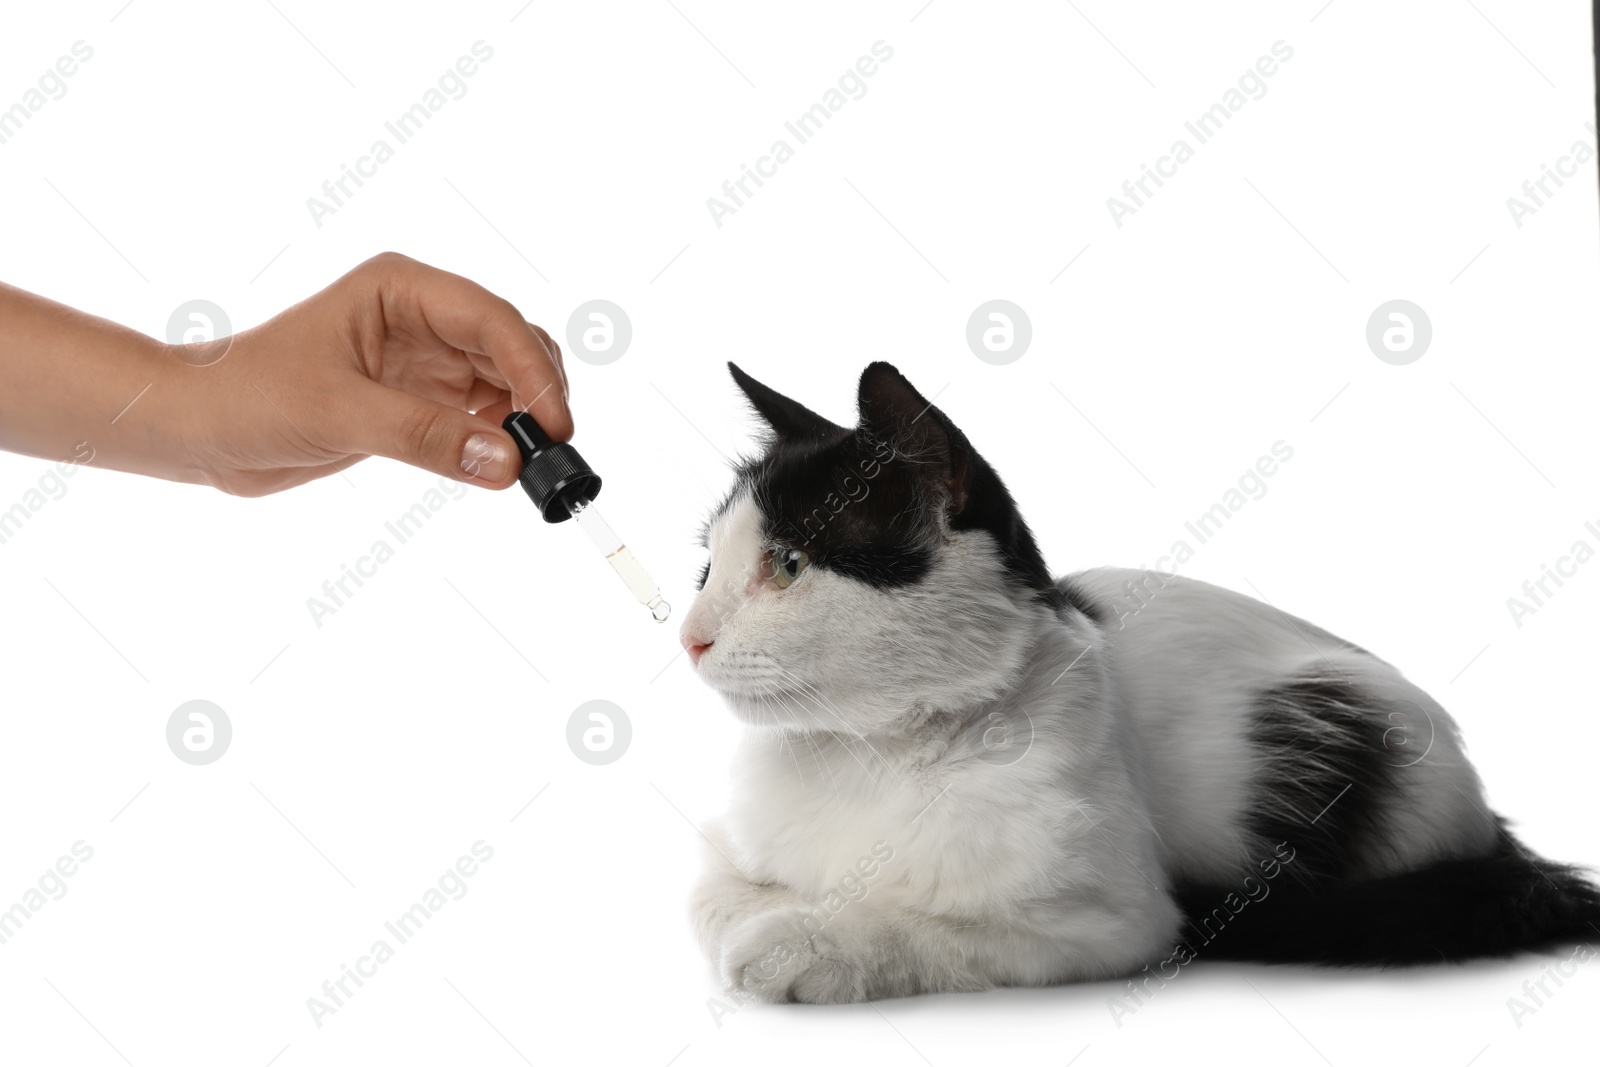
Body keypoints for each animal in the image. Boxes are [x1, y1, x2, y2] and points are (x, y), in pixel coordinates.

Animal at [678, 363, 1600, 1004]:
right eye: (706, 569)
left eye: (788, 565)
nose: (688, 636)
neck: (866, 751)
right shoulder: (729, 841)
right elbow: (712, 897)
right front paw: (761, 914)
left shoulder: (1109, 921)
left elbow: (928, 925)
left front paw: (803, 941)